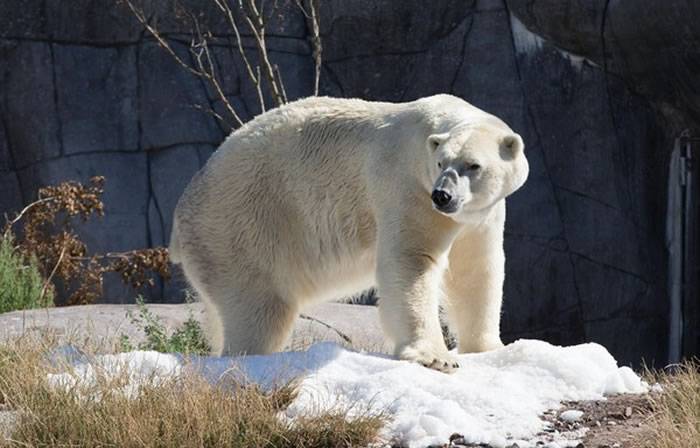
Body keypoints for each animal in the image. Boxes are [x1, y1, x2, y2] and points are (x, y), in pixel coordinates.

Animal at [171, 93, 532, 372]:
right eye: (442, 163)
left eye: (473, 165)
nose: (442, 196)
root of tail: (182, 214)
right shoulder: (408, 187)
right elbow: (413, 259)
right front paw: (436, 357)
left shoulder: (481, 215)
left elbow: (476, 269)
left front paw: (487, 348)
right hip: (243, 225)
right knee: (260, 310)